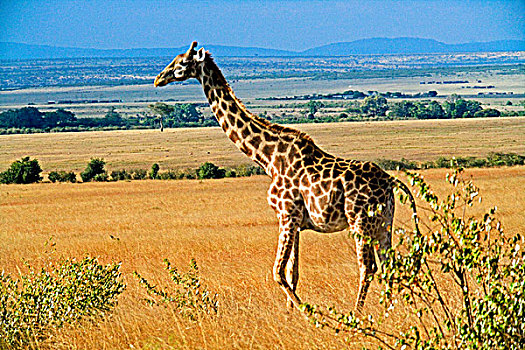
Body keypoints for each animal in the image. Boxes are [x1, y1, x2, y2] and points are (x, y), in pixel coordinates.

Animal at [152, 41, 418, 312]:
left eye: (182, 62)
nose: (158, 79)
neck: (268, 158)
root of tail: (390, 182)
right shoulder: (297, 222)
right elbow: (293, 273)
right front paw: (293, 313)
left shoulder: (286, 215)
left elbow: (278, 272)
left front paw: (307, 311)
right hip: (384, 222)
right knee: (389, 266)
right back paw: (390, 310)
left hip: (360, 221)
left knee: (368, 267)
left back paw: (359, 313)